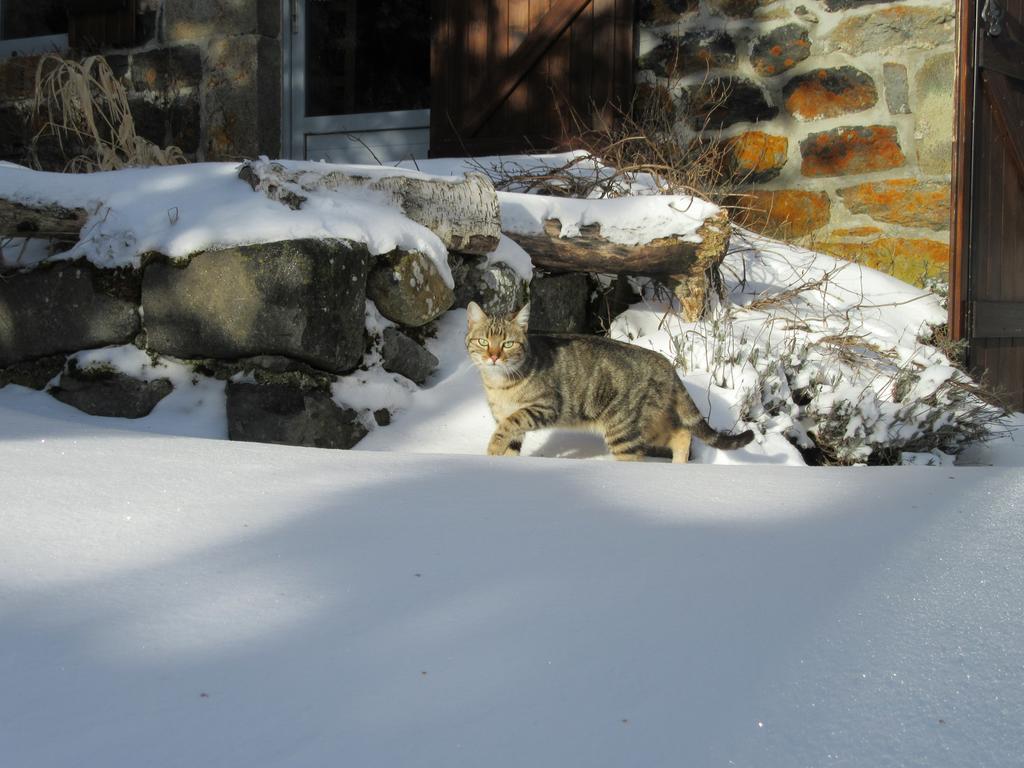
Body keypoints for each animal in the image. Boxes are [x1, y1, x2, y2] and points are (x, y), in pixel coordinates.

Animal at [466, 303, 753, 462]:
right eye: (483, 341)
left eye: (508, 344)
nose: (494, 356)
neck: (499, 384)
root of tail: (667, 365)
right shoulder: (511, 421)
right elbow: (510, 443)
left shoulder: (544, 407)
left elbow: (508, 425)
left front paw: (491, 449)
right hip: (649, 423)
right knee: (681, 434)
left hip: (623, 428)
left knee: (644, 453)